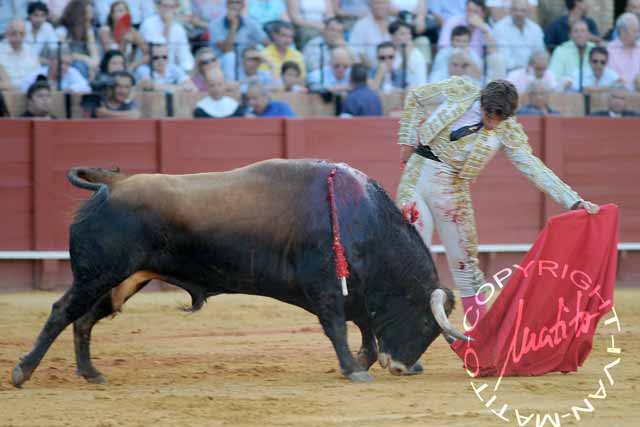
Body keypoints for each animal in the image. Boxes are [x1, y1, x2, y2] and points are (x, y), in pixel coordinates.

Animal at [12, 158, 468, 388]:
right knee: (61, 313)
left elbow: (367, 334)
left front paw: (361, 361)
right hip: (97, 274)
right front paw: (354, 369)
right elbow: (339, 329)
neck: (362, 218)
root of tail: (112, 185)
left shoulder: (356, 294)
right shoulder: (327, 289)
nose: (403, 367)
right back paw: (23, 372)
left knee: (84, 319)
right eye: (425, 325)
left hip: (121, 281)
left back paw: (91, 373)